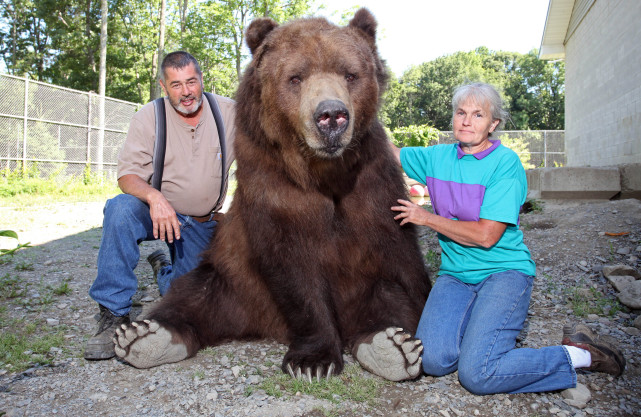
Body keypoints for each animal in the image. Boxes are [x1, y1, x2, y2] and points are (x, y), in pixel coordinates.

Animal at [114, 8, 430, 382]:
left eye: (350, 74)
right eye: (295, 77)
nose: (331, 116)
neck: (323, 173)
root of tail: (262, 325)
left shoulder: (372, 186)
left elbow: (400, 267)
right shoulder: (273, 186)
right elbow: (291, 266)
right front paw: (313, 360)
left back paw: (393, 346)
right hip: (235, 281)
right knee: (196, 295)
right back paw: (144, 336)